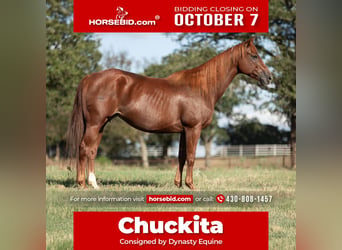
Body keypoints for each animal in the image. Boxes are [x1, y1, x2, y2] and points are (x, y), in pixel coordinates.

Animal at [65, 37, 272, 189]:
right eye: (254, 55)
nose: (268, 77)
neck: (200, 88)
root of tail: (89, 78)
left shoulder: (183, 131)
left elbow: (181, 156)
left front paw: (178, 185)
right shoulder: (193, 128)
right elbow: (191, 157)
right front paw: (191, 185)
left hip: (101, 124)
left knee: (92, 150)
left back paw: (94, 184)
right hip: (95, 124)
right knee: (84, 148)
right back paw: (82, 184)